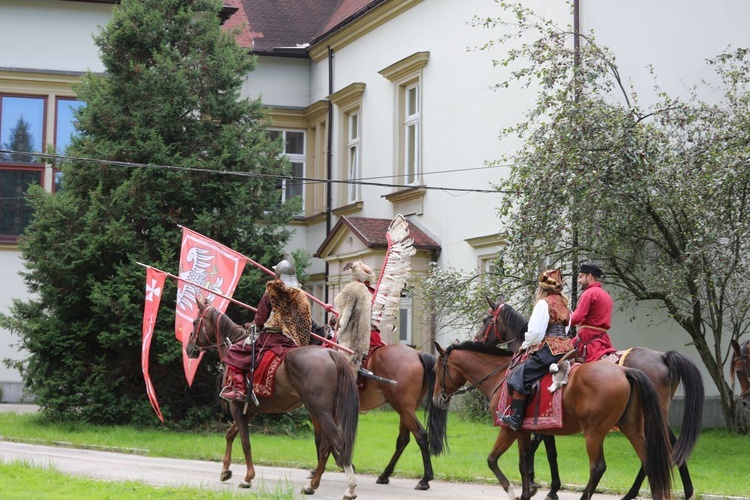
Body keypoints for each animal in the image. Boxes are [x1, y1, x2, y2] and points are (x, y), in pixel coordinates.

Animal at [189, 296, 362, 500]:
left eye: (195, 321)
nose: (189, 348)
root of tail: (331, 352)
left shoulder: (237, 407)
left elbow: (245, 442)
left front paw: (247, 478)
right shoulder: (251, 409)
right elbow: (231, 434)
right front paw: (225, 470)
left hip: (320, 411)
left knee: (337, 442)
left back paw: (349, 486)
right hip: (323, 412)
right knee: (326, 445)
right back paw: (313, 484)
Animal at [434, 340, 676, 500]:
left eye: (436, 369)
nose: (437, 399)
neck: (500, 375)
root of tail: (625, 372)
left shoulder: (509, 429)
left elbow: (492, 460)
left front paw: (514, 490)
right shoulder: (523, 431)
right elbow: (524, 463)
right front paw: (527, 492)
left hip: (594, 432)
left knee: (597, 467)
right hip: (631, 427)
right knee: (649, 461)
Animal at [478, 296, 708, 500]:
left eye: (485, 319)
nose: (477, 339)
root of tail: (663, 357)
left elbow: (545, 452)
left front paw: (544, 487)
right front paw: (540, 485)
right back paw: (676, 491)